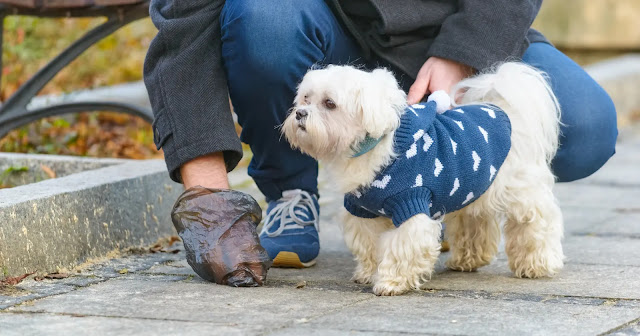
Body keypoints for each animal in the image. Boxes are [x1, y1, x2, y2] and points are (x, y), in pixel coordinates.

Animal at [282, 61, 564, 296]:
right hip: (473, 187)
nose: (300, 114)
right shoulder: (363, 212)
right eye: (305, 98)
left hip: (521, 191)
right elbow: (369, 245)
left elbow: (403, 246)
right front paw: (368, 273)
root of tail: (506, 113)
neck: (374, 147)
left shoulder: (411, 203)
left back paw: (536, 264)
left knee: (535, 224)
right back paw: (468, 259)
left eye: (330, 103)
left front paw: (391, 283)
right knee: (474, 223)